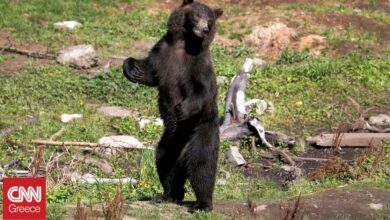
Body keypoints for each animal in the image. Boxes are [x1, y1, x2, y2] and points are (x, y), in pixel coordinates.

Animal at [124, 0, 222, 212]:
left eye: (210, 19)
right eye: (197, 15)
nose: (205, 29)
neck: (184, 42)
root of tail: (183, 149)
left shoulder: (197, 63)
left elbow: (201, 89)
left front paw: (181, 109)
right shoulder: (162, 53)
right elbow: (149, 71)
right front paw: (131, 68)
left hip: (201, 131)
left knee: (202, 164)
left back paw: (202, 203)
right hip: (169, 142)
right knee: (164, 162)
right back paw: (168, 195)